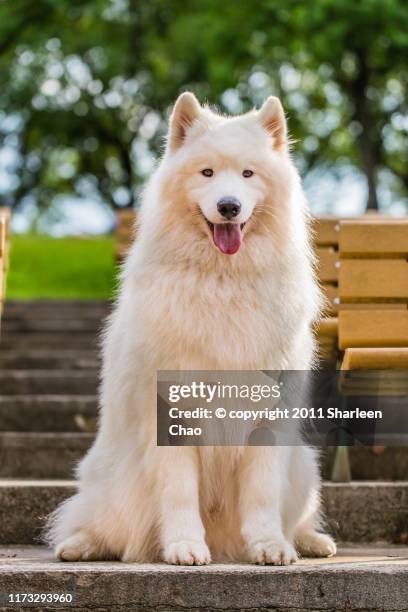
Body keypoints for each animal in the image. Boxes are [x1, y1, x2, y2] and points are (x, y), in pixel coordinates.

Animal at [47, 93, 334, 568]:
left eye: (248, 174)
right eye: (207, 173)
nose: (229, 206)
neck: (223, 283)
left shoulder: (267, 417)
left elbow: (262, 494)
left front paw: (269, 545)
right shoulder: (171, 414)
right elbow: (179, 491)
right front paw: (184, 546)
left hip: (304, 465)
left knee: (299, 514)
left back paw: (310, 541)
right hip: (110, 476)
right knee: (100, 522)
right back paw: (80, 544)